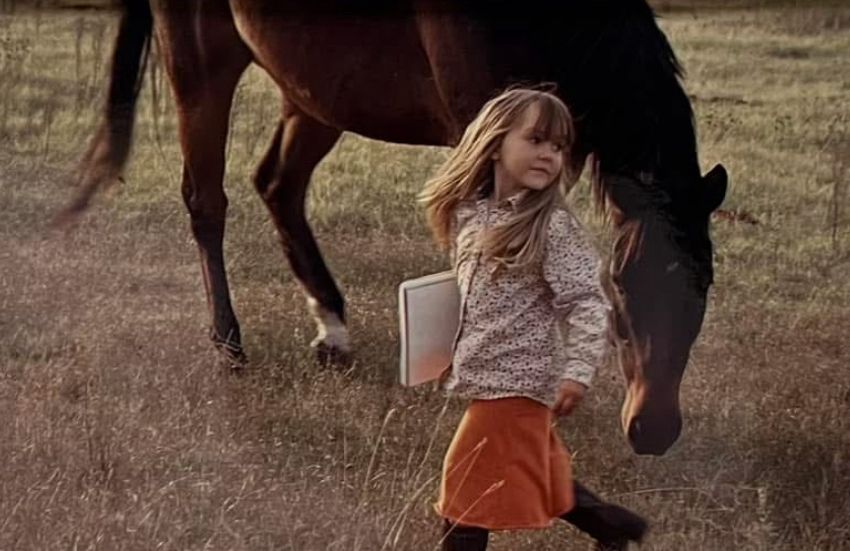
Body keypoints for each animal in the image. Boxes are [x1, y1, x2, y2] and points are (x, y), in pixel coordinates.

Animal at [60, 0, 728, 456]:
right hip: (202, 65)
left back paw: (332, 326)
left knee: (278, 185)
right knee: (207, 202)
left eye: (703, 291)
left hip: (315, 92)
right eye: (623, 292)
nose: (654, 429)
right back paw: (229, 344)